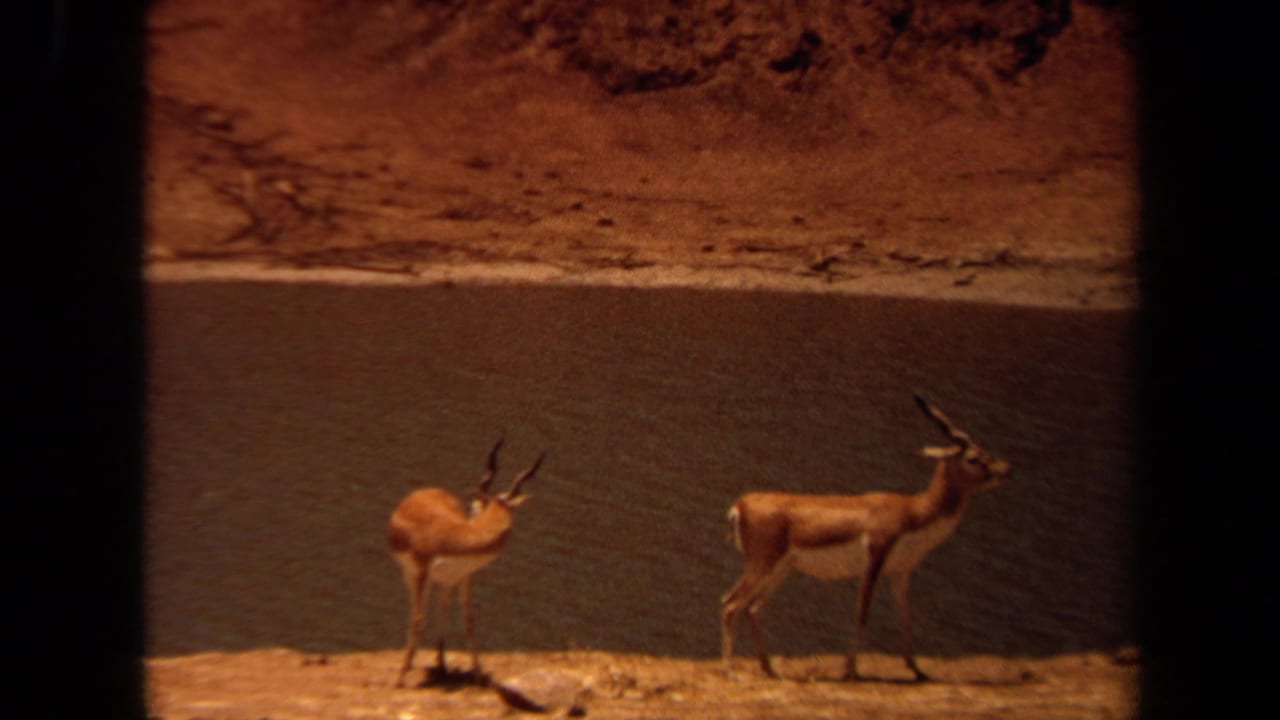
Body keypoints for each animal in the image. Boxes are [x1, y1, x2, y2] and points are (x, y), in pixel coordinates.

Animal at [388, 438, 547, 687]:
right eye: (474, 505)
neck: (454, 537)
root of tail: (421, 491)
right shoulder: (423, 571)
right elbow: (417, 619)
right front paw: (400, 679)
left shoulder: (465, 575)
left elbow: (469, 619)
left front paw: (479, 675)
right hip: (412, 575)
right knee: (417, 612)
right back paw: (412, 665)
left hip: (444, 581)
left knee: (442, 608)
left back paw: (442, 667)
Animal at [720, 394, 1010, 681]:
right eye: (973, 458)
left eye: (985, 450)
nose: (1003, 470)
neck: (915, 510)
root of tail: (740, 506)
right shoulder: (875, 557)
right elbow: (862, 612)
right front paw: (850, 669)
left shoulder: (901, 571)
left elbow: (906, 615)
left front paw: (917, 670)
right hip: (762, 564)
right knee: (730, 603)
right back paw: (731, 671)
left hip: (782, 569)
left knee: (751, 608)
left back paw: (770, 669)